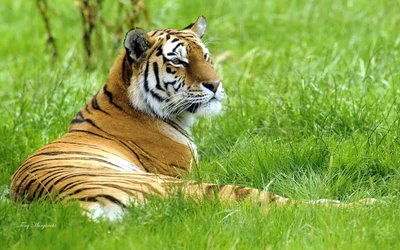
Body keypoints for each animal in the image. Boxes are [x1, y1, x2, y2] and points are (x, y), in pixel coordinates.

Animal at [10, 16, 376, 221]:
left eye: (206, 56)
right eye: (179, 61)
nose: (216, 84)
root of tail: (61, 206)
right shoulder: (186, 172)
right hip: (181, 188)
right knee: (273, 203)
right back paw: (367, 204)